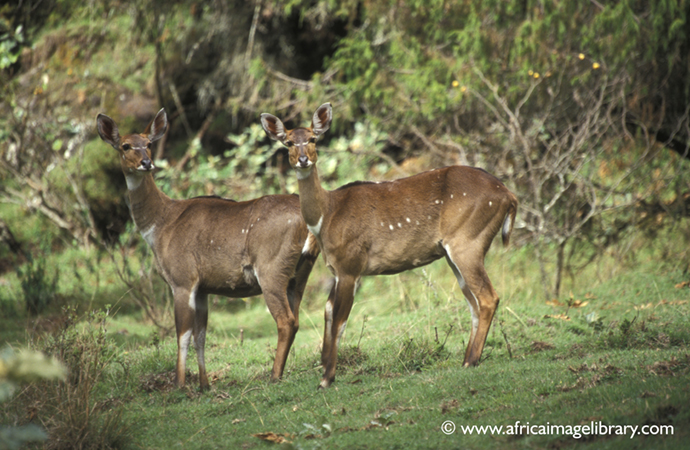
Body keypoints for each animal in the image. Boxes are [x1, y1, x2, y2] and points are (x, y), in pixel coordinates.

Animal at [96, 109, 318, 390]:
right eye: (126, 145)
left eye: (148, 144)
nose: (146, 163)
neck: (161, 225)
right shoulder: (203, 288)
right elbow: (200, 335)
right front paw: (204, 385)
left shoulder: (182, 279)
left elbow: (182, 333)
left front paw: (179, 385)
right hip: (300, 274)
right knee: (296, 319)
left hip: (271, 271)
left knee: (286, 321)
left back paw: (274, 375)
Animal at [260, 103, 516, 388]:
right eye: (288, 142)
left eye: (313, 138)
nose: (303, 159)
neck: (327, 215)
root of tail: (508, 195)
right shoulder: (338, 270)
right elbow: (327, 313)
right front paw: (325, 370)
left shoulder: (351, 266)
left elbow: (339, 321)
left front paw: (326, 379)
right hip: (455, 252)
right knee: (473, 302)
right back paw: (466, 360)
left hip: (467, 242)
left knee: (488, 297)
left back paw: (472, 361)